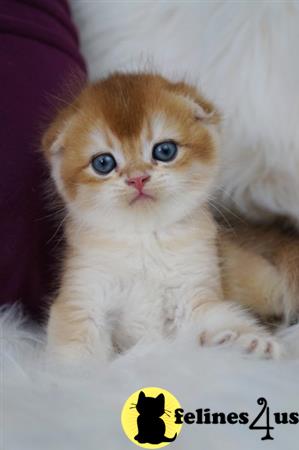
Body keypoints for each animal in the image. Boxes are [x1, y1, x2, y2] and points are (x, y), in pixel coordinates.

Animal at [42, 74, 282, 362]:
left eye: (165, 150)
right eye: (103, 163)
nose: (138, 178)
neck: (144, 238)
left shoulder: (195, 293)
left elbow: (220, 317)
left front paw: (249, 341)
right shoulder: (83, 296)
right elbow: (78, 349)